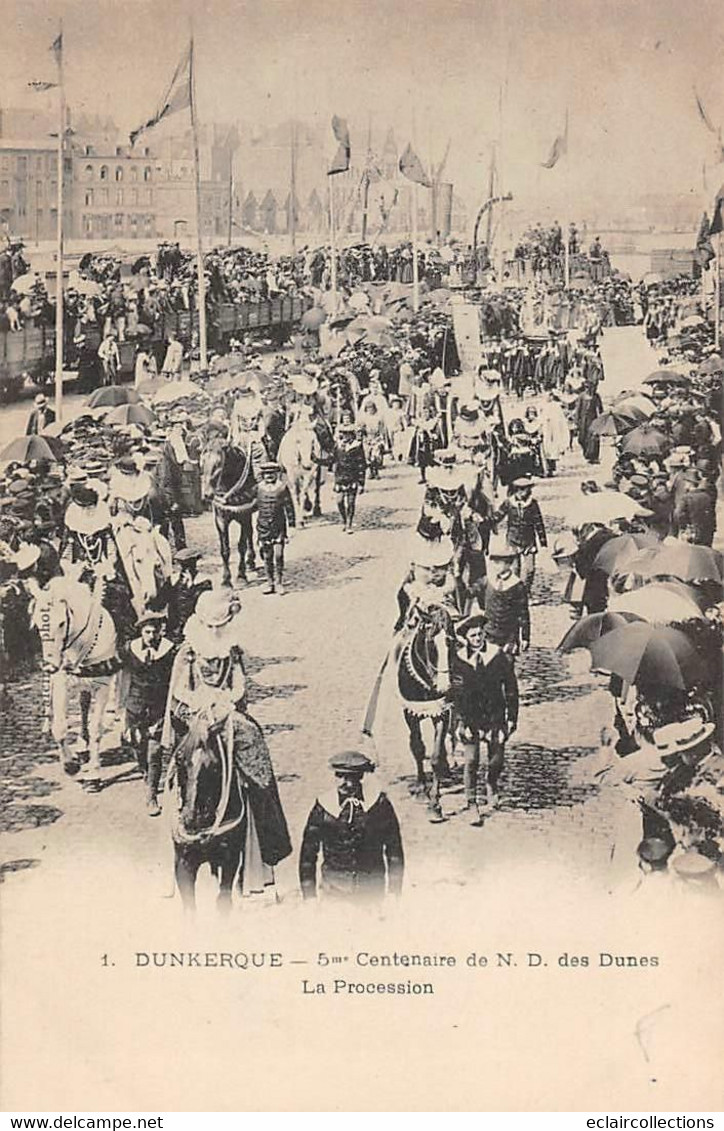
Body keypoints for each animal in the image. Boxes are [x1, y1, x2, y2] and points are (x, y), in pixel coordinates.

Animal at [30, 574, 118, 787]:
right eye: (37, 625)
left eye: (62, 623)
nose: (49, 667)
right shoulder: (62, 683)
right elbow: (59, 727)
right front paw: (70, 765)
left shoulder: (102, 686)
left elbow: (96, 729)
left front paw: (93, 774)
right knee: (84, 704)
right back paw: (82, 745)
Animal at [202, 438, 259, 588]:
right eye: (202, 462)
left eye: (218, 464)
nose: (207, 495)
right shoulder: (221, 520)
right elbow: (225, 549)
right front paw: (226, 579)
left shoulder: (244, 515)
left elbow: (241, 546)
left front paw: (241, 576)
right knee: (250, 532)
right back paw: (250, 561)